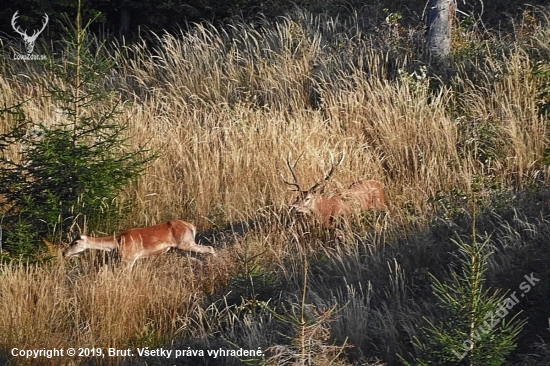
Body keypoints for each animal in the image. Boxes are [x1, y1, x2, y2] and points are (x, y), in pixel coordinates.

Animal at [64, 219, 216, 268]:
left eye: (75, 242)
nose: (64, 252)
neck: (116, 243)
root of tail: (191, 226)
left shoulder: (129, 259)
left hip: (186, 243)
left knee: (210, 247)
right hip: (181, 249)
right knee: (199, 258)